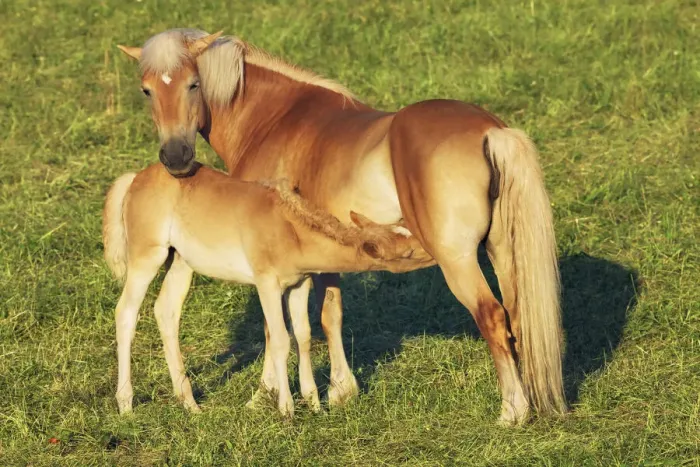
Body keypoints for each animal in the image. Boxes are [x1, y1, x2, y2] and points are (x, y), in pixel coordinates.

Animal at [102, 161, 434, 416]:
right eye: (408, 252)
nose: (433, 248)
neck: (290, 230)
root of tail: (135, 179)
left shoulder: (299, 284)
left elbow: (303, 335)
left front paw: (314, 403)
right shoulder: (266, 284)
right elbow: (280, 339)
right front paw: (286, 409)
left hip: (182, 261)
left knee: (166, 311)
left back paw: (190, 404)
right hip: (147, 255)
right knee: (126, 312)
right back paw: (126, 404)